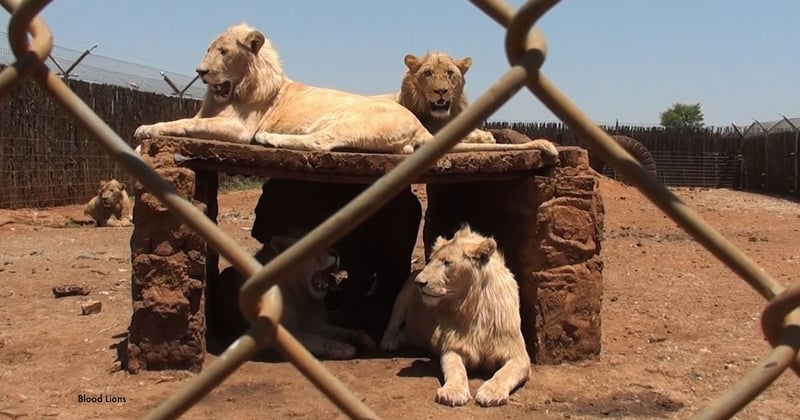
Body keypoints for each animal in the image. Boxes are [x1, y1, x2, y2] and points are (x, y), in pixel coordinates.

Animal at [134, 23, 558, 156]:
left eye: (223, 51)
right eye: (209, 49)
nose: (200, 71)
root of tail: (419, 126)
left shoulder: (239, 128)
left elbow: (184, 124)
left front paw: (145, 130)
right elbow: (185, 119)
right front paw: (143, 139)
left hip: (348, 119)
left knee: (320, 143)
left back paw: (270, 139)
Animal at [210, 234, 375, 360]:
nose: (335, 252)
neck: (299, 296)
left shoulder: (315, 324)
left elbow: (337, 331)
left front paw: (360, 337)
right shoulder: (275, 331)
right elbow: (313, 338)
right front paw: (341, 348)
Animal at [380, 225, 530, 407]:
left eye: (447, 262)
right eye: (430, 260)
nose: (419, 282)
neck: (474, 307)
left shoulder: (519, 355)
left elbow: (505, 373)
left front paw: (491, 392)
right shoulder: (452, 347)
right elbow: (455, 369)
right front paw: (453, 392)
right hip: (402, 295)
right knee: (393, 323)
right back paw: (389, 342)